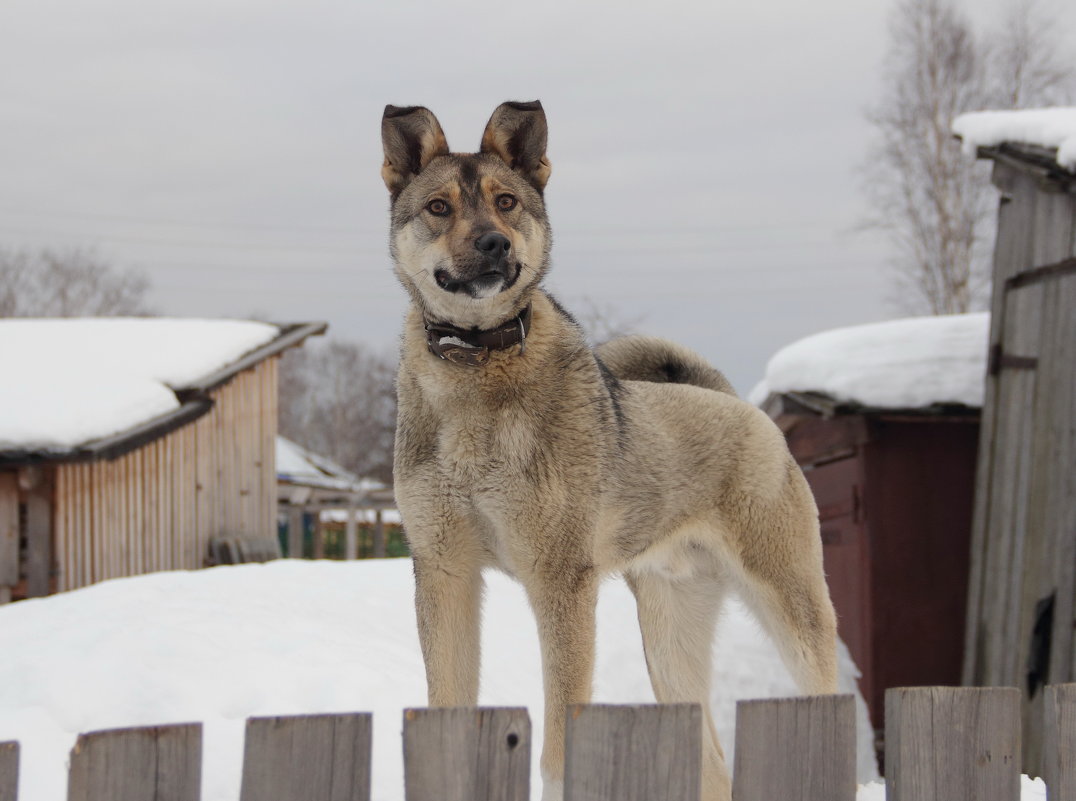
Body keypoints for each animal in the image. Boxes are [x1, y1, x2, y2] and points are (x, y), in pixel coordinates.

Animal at [383, 100, 834, 801]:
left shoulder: (561, 582)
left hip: (793, 608)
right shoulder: (444, 572)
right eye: (438, 207)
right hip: (670, 634)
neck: (477, 366)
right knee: (712, 761)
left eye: (506, 202)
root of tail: (742, 408)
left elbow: (558, 749)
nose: (494, 244)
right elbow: (444, 715)